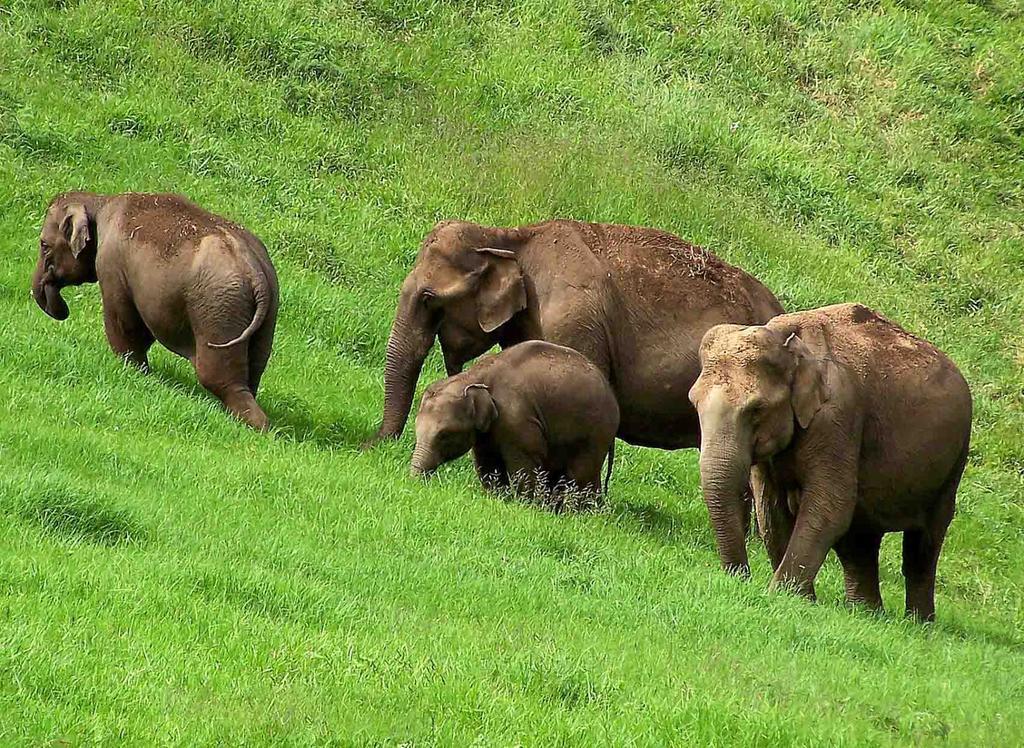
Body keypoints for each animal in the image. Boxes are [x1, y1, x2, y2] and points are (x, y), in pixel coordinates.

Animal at [32, 189, 280, 428]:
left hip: (218, 311)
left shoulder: (111, 265)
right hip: (265, 314)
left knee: (220, 379)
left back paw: (255, 426)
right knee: (252, 373)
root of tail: (254, 271)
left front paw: (132, 369)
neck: (100, 201)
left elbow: (124, 324)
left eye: (44, 245)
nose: (62, 309)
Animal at [411, 340, 618, 502]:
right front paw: (498, 498)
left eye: (445, 435)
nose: (415, 485)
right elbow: (488, 466)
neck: (474, 376)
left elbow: (522, 467)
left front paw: (524, 505)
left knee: (581, 476)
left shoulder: (516, 420)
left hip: (596, 432)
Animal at [688, 299, 966, 618]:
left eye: (757, 409)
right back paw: (867, 614)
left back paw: (915, 623)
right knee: (860, 542)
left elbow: (830, 505)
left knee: (923, 546)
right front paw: (802, 599)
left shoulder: (837, 416)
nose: (741, 577)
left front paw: (782, 597)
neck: (786, 338)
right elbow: (770, 508)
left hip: (953, 464)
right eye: (693, 403)